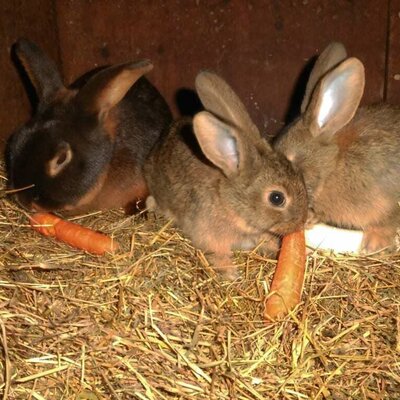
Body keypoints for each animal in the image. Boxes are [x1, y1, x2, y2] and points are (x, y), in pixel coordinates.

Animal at [145, 71, 308, 278]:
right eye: (277, 198)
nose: (301, 223)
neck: (230, 204)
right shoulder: (210, 236)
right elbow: (219, 254)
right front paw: (231, 274)